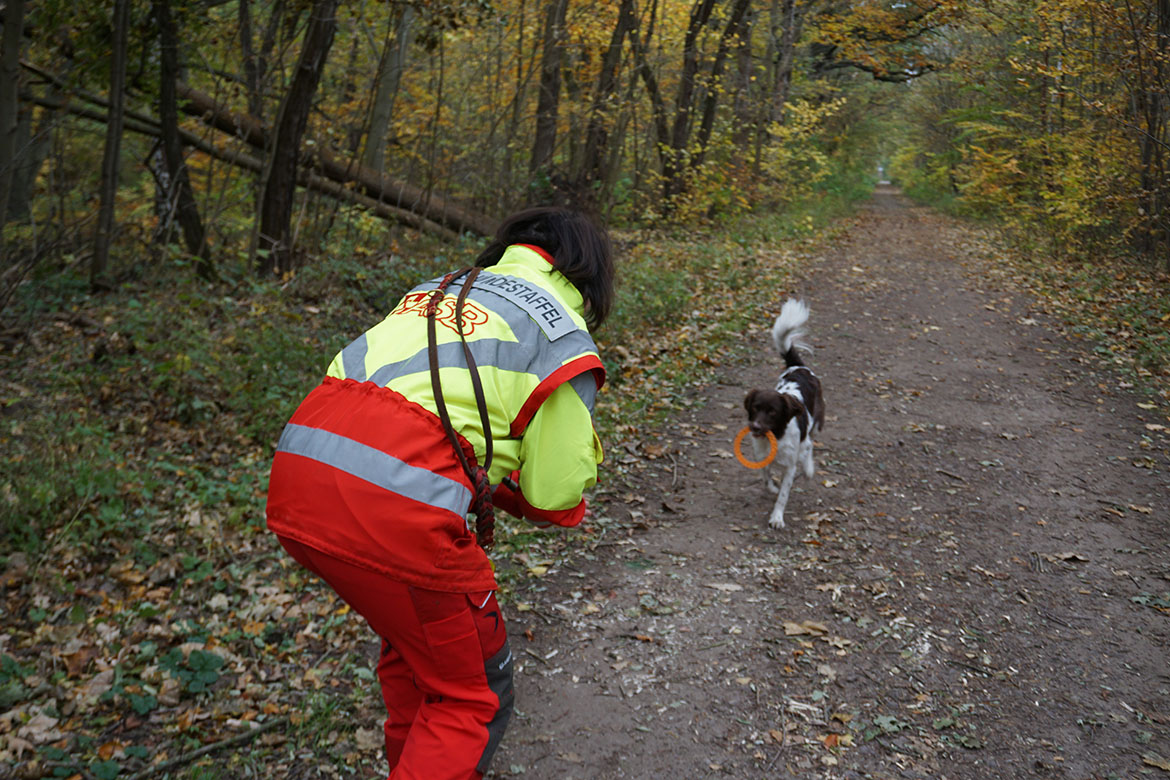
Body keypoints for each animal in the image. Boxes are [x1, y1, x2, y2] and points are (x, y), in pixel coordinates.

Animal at [744, 299, 828, 530]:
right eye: (755, 408)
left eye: (772, 412)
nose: (755, 427)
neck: (776, 436)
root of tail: (799, 367)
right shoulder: (760, 454)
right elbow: (765, 476)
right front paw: (771, 487)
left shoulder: (790, 466)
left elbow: (783, 495)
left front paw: (776, 518)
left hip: (816, 424)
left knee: (810, 445)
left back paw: (808, 469)